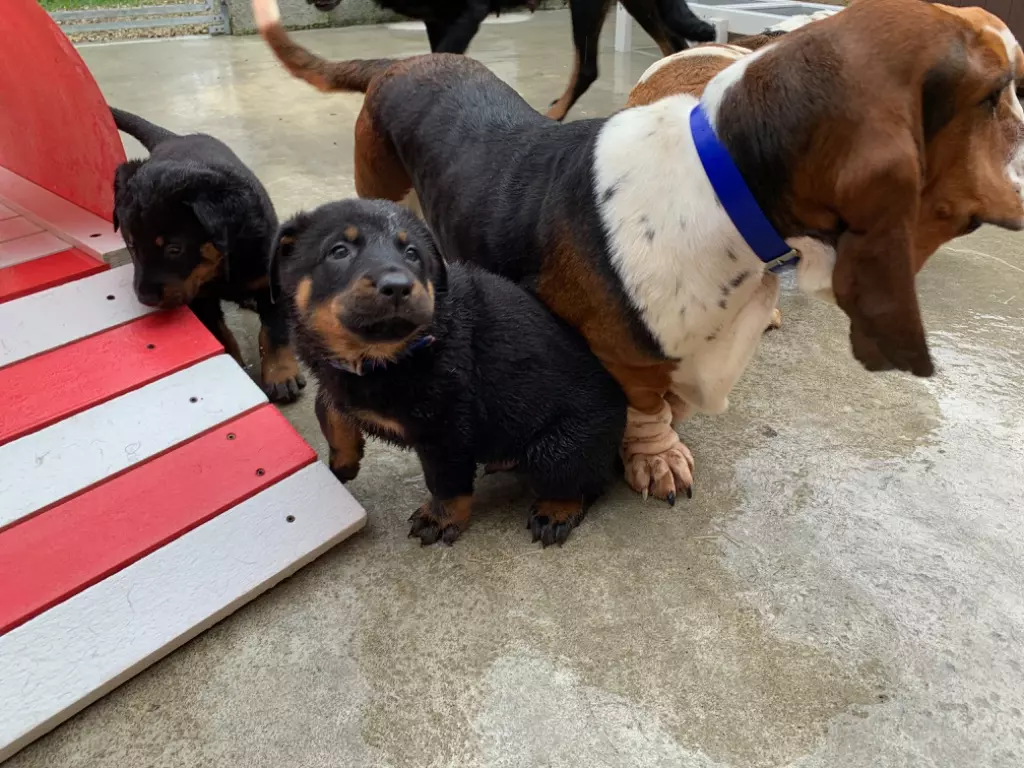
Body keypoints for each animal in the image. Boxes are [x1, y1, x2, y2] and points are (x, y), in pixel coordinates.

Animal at [111, 108, 306, 403]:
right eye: (131, 245)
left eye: (174, 249)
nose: (146, 298)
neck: (223, 265)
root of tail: (172, 138)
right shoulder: (200, 296)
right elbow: (219, 332)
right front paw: (234, 362)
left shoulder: (271, 278)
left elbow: (273, 329)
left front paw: (281, 374)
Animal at [273, 198, 626, 546]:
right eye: (339, 251)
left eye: (412, 253)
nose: (398, 287)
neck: (387, 355)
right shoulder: (338, 377)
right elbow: (328, 405)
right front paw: (344, 460)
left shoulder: (446, 428)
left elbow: (445, 481)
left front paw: (440, 519)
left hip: (556, 448)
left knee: (581, 480)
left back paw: (555, 511)